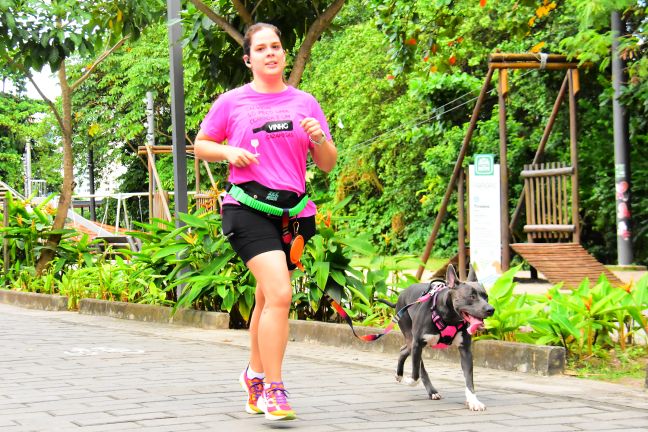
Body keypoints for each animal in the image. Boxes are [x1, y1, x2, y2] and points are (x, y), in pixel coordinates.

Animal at [378, 264, 494, 410]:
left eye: (486, 296)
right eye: (472, 296)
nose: (491, 309)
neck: (450, 317)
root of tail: (401, 294)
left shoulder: (466, 351)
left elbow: (469, 379)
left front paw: (473, 401)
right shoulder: (418, 344)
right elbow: (416, 374)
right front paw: (409, 381)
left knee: (403, 350)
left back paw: (400, 375)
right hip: (411, 337)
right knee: (417, 365)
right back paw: (427, 389)